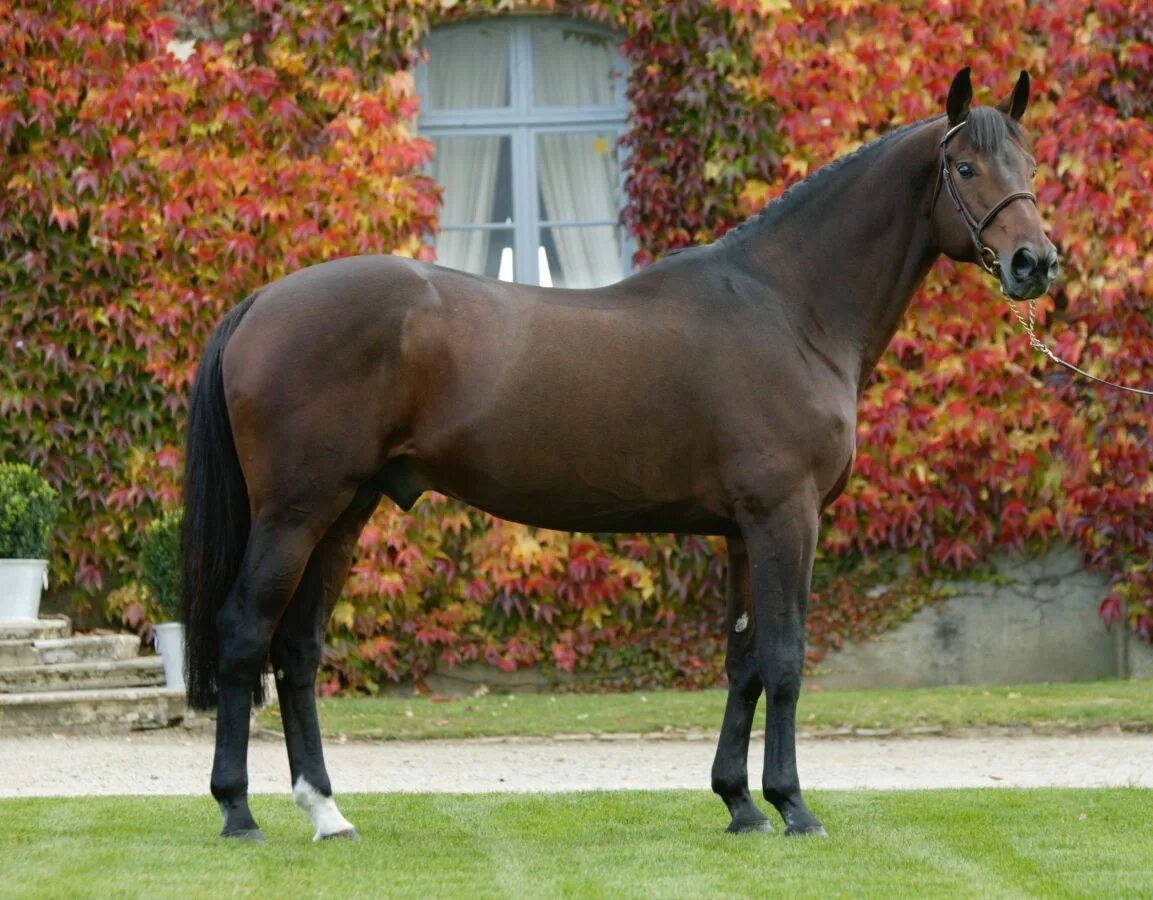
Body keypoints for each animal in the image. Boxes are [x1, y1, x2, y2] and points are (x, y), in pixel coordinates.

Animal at [184, 70, 1056, 843]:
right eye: (965, 167)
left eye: (1031, 163)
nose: (1035, 263)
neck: (787, 307)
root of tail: (262, 300)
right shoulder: (786, 518)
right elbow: (783, 658)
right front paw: (792, 806)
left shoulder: (742, 533)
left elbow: (742, 661)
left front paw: (738, 803)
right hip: (295, 512)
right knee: (244, 633)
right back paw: (237, 811)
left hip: (345, 511)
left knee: (297, 648)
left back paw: (326, 812)